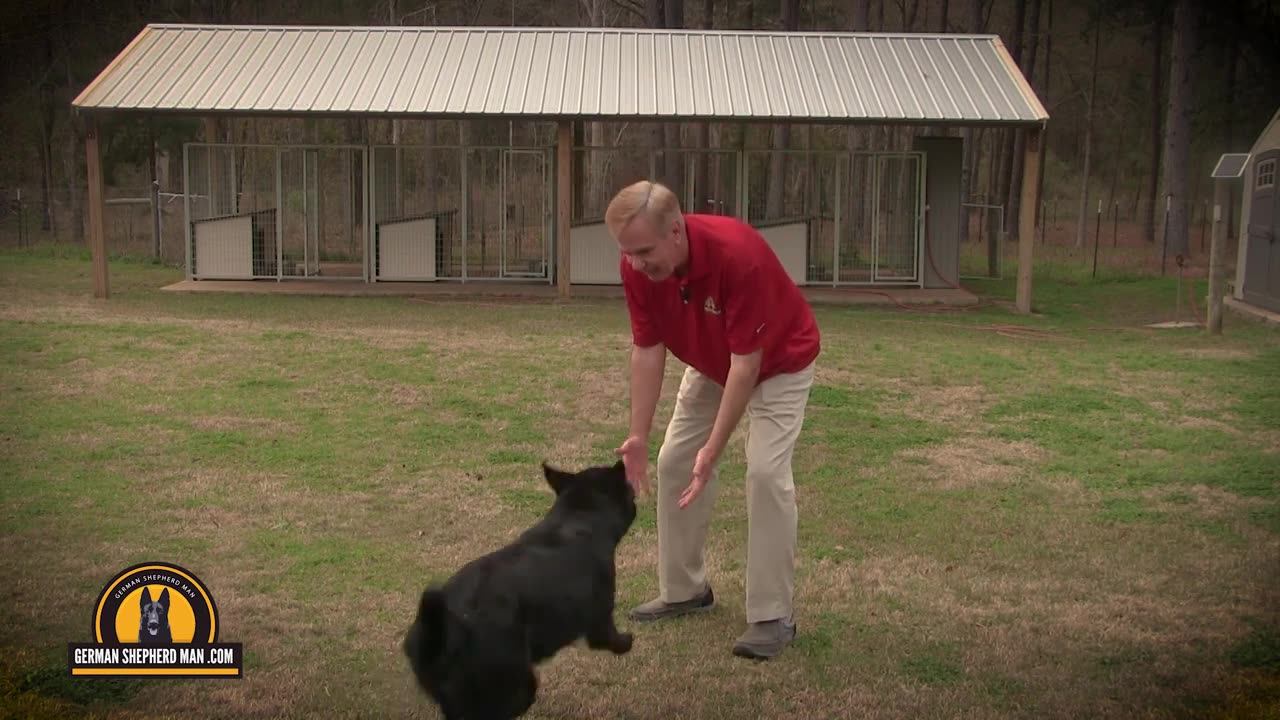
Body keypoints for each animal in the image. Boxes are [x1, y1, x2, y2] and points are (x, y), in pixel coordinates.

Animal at [404, 458, 634, 717]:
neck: (578, 517)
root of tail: (442, 634)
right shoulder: (600, 619)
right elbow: (611, 639)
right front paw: (627, 641)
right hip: (515, 683)